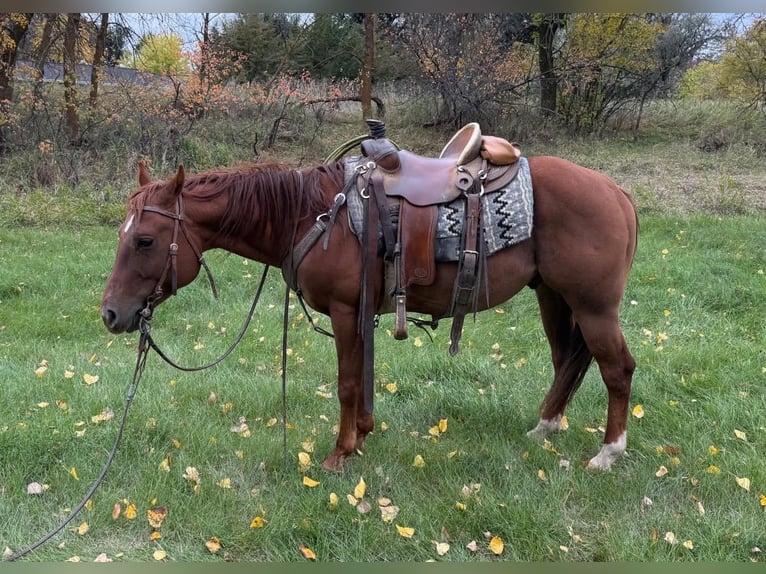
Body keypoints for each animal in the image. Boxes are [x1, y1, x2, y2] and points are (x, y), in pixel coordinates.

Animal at [101, 138, 638, 474]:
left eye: (145, 240)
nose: (110, 314)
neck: (311, 216)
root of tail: (618, 192)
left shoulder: (344, 310)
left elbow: (346, 383)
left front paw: (339, 453)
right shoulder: (358, 314)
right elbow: (361, 379)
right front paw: (361, 436)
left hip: (593, 306)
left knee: (617, 368)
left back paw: (608, 454)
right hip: (554, 296)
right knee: (568, 360)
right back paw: (545, 427)